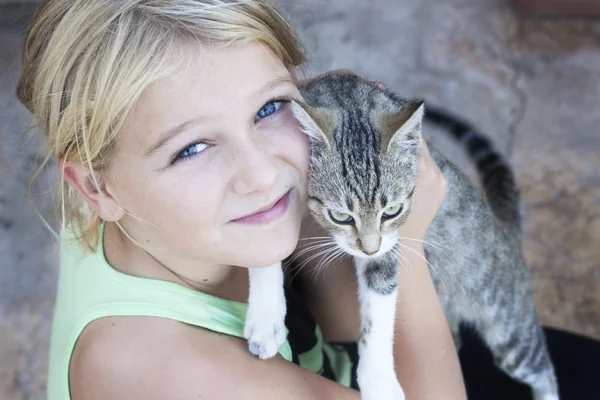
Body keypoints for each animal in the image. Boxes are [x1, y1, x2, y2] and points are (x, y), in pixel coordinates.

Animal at [243, 74, 556, 400]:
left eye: (392, 211)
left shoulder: (390, 244)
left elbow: (378, 308)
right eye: (341, 216)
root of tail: (504, 227)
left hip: (508, 325)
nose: (368, 250)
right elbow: (263, 233)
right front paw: (266, 318)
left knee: (541, 368)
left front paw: (379, 381)